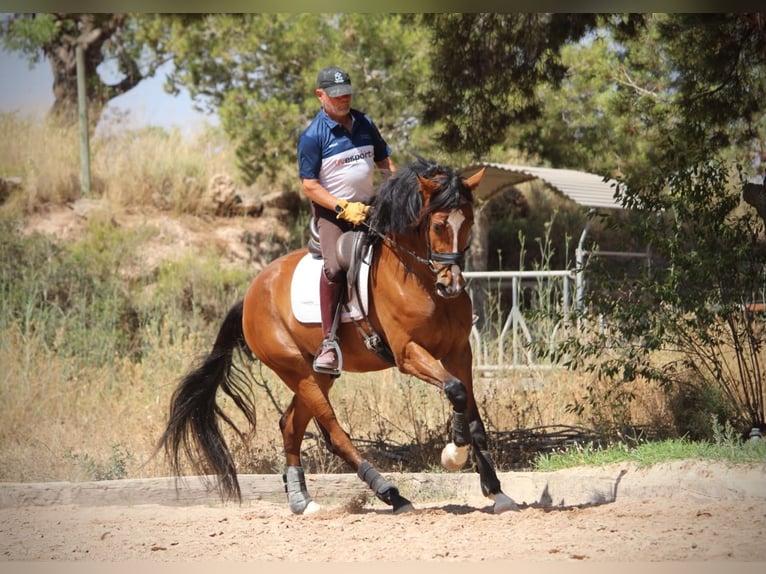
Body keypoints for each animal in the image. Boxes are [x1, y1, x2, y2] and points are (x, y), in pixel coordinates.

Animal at [158, 156, 518, 515]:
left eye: (468, 222)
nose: (451, 285)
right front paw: (454, 454)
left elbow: (471, 413)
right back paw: (392, 494)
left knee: (290, 425)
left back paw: (302, 501)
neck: (421, 279)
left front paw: (497, 491)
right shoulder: (408, 353)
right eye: (439, 225)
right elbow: (455, 391)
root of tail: (250, 295)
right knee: (333, 432)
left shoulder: (458, 352)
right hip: (296, 370)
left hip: (317, 374)